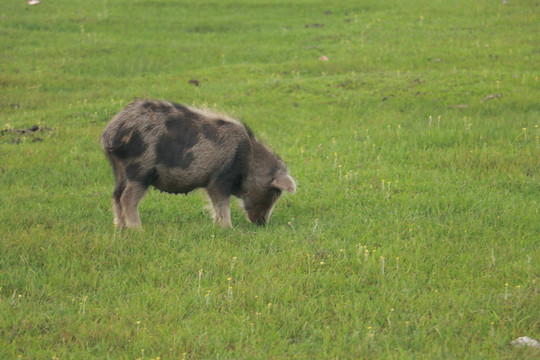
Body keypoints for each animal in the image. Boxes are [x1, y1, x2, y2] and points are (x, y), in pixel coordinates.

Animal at [100, 98, 296, 228]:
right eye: (276, 191)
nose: (262, 223)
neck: (249, 160)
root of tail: (112, 132)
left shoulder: (211, 183)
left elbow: (216, 206)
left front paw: (218, 226)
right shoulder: (220, 179)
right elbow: (222, 205)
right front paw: (229, 228)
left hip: (119, 170)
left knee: (116, 196)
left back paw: (120, 229)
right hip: (140, 169)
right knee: (127, 198)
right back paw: (138, 230)